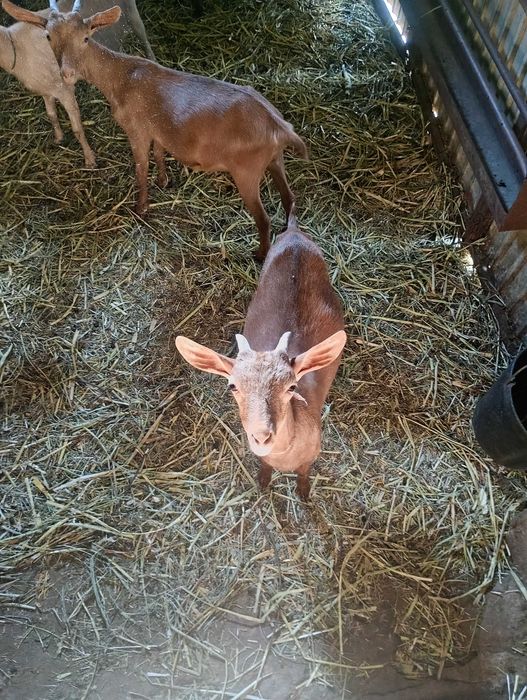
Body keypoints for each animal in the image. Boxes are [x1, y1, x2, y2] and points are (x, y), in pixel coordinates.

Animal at [2, 0, 308, 260]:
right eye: (48, 36)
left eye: (86, 37)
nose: (67, 74)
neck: (120, 76)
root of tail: (280, 126)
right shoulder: (158, 129)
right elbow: (160, 154)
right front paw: (164, 181)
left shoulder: (136, 129)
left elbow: (140, 169)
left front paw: (140, 209)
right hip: (274, 160)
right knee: (289, 198)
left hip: (247, 171)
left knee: (263, 217)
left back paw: (259, 254)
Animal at [176, 214, 346, 499]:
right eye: (232, 386)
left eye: (292, 386)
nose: (262, 436)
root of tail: (294, 232)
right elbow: (265, 467)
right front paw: (263, 482)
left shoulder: (310, 457)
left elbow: (304, 474)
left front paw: (303, 493)